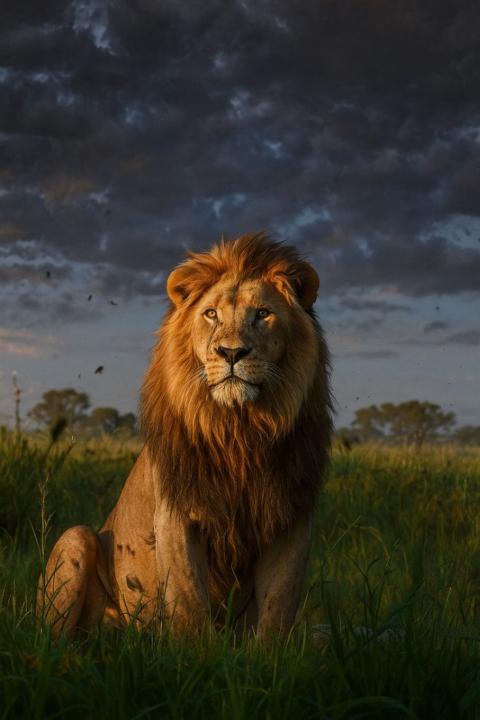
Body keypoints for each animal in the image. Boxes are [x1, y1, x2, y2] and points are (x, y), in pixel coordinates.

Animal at [38, 232, 332, 641]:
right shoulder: (176, 514)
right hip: (75, 539)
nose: (231, 352)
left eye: (263, 314)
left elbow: (277, 609)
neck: (239, 432)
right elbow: (189, 601)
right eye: (210, 314)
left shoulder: (291, 517)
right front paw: (199, 654)